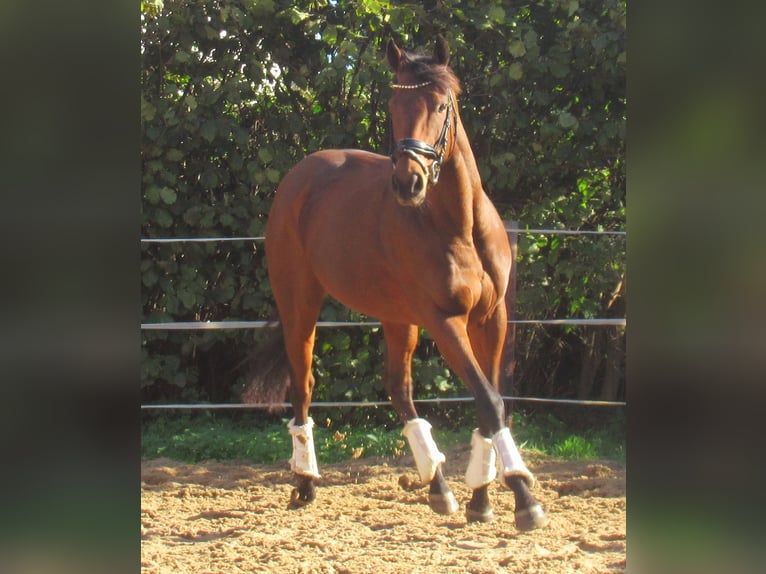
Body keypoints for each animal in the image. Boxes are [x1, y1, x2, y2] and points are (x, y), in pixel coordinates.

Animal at [258, 35, 544, 532]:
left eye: (441, 104)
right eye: (395, 105)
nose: (408, 183)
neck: (459, 224)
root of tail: (298, 177)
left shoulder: (491, 318)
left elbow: (490, 402)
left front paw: (481, 499)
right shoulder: (445, 321)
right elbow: (489, 401)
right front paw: (523, 497)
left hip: (396, 317)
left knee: (399, 389)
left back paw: (439, 487)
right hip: (300, 303)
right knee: (304, 385)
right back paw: (305, 482)